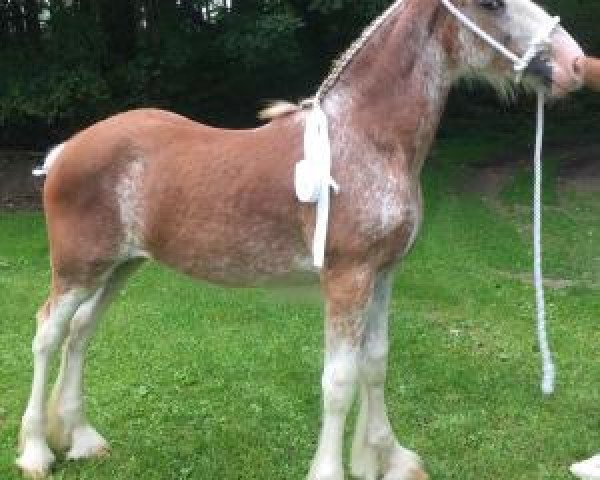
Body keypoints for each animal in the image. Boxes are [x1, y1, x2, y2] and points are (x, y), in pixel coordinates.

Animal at [16, 0, 584, 478]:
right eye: (490, 3)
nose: (576, 63)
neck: (365, 140)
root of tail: (66, 149)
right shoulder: (348, 278)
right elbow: (339, 380)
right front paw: (334, 469)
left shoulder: (383, 275)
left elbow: (375, 363)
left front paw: (388, 458)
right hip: (77, 269)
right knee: (48, 333)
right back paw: (37, 452)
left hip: (120, 266)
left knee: (82, 332)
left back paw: (83, 440)